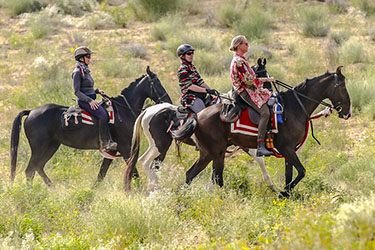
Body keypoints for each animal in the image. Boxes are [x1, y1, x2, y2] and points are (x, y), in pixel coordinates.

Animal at [9, 66, 172, 186]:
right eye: (156, 82)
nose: (168, 101)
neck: (123, 110)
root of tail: (31, 112)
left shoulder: (113, 151)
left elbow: (101, 174)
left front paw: (93, 191)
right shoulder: (125, 148)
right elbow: (133, 172)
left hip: (51, 146)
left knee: (38, 167)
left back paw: (51, 187)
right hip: (40, 148)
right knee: (30, 170)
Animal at [125, 59, 274, 191]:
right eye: (262, 76)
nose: (271, 95)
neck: (232, 107)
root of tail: (147, 111)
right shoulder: (241, 143)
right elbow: (259, 159)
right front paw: (271, 185)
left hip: (159, 146)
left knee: (151, 164)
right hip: (160, 145)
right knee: (145, 162)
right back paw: (155, 186)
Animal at [174, 66, 352, 197]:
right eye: (342, 86)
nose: (347, 112)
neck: (294, 107)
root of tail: (198, 115)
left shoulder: (288, 151)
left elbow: (289, 174)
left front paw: (286, 195)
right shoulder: (286, 148)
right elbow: (301, 171)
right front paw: (283, 193)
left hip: (207, 153)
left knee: (191, 174)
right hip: (217, 153)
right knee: (216, 180)